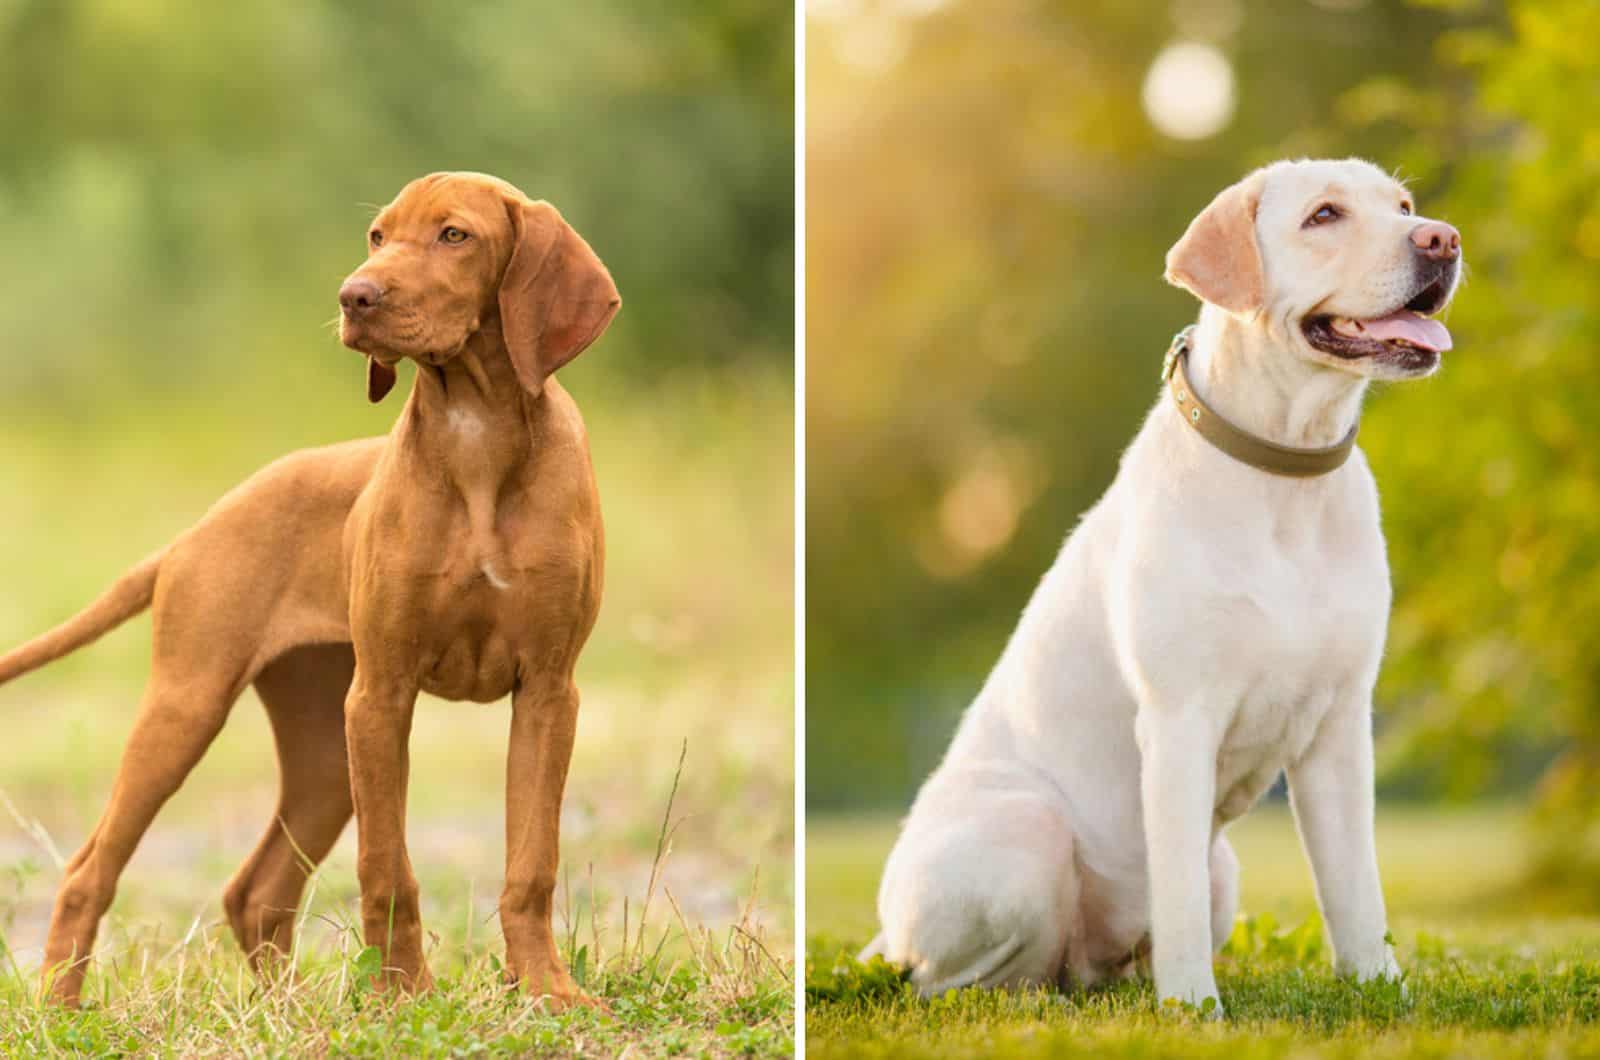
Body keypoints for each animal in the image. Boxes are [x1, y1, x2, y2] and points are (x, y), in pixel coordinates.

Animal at [0, 174, 617, 1011]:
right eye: (378, 236)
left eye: (454, 235)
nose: (355, 296)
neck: (477, 433)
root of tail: (195, 532)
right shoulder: (383, 695)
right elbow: (387, 868)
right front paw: (402, 998)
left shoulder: (550, 692)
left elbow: (533, 863)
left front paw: (547, 991)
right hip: (195, 707)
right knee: (88, 871)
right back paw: (61, 1011)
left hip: (325, 750)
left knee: (256, 890)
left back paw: (285, 1008)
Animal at [864, 156, 1465, 1011]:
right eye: (1324, 215)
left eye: (1406, 205)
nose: (1442, 239)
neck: (1287, 472)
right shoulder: (1181, 720)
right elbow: (1172, 887)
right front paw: (1191, 1009)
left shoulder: (1340, 727)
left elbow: (1356, 887)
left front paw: (1381, 991)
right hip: (1023, 835)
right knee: (957, 977)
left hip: (1225, 869)